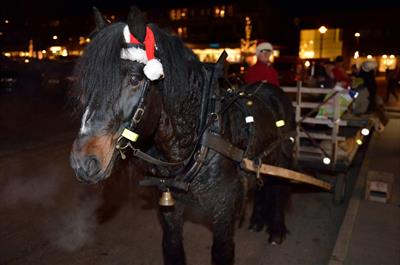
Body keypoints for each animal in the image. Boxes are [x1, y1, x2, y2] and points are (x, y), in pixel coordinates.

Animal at [69, 6, 296, 264]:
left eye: (135, 79)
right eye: (87, 82)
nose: (83, 163)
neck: (199, 142)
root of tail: (272, 88)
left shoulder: (224, 212)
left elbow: (222, 251)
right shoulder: (170, 209)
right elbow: (172, 246)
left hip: (282, 159)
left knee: (279, 188)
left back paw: (276, 229)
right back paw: (258, 220)